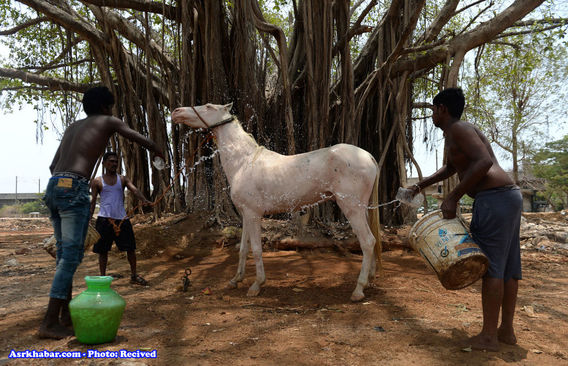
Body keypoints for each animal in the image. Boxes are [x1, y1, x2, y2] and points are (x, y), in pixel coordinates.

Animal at [172, 102, 382, 300]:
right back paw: (370, 280)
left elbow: (256, 249)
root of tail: (369, 157)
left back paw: (358, 289)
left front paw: (256, 285)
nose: (176, 112)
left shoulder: (254, 214)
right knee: (372, 240)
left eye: (208, 106)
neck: (244, 162)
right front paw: (236, 279)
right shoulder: (245, 215)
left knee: (367, 241)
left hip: (351, 208)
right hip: (361, 209)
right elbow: (243, 248)